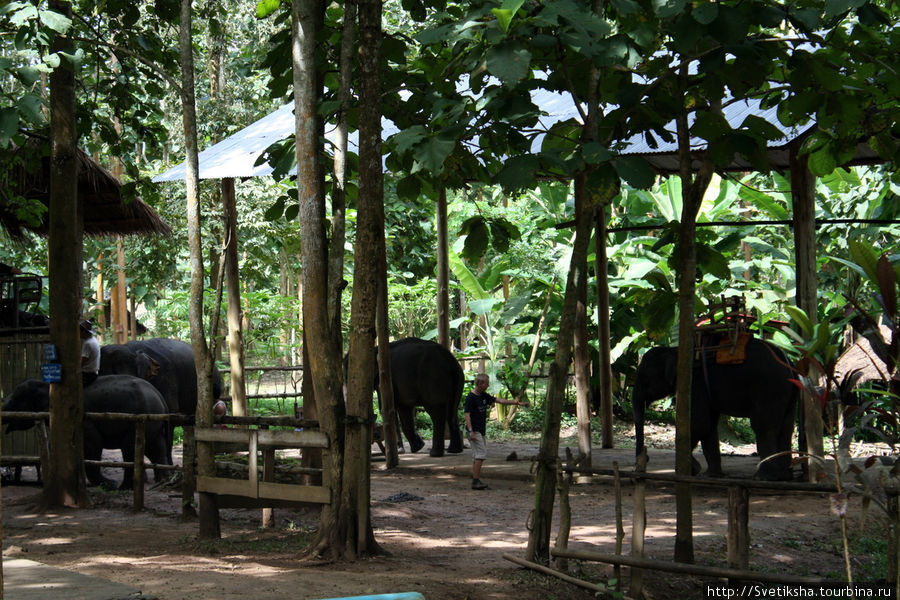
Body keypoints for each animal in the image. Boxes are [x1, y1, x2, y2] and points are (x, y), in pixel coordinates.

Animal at [1, 378, 171, 490]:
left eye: (14, 401)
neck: (48, 388)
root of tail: (159, 395)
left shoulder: (82, 418)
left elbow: (93, 444)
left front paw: (109, 484)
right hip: (153, 423)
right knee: (157, 448)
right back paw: (162, 482)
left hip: (140, 421)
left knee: (130, 449)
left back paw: (123, 487)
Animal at [628, 336, 800, 480]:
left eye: (643, 377)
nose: (645, 459)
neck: (675, 350)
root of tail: (788, 362)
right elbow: (708, 426)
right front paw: (710, 475)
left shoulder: (696, 383)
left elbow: (699, 424)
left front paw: (691, 470)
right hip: (789, 393)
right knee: (786, 428)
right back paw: (784, 476)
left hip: (768, 388)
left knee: (763, 427)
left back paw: (764, 477)